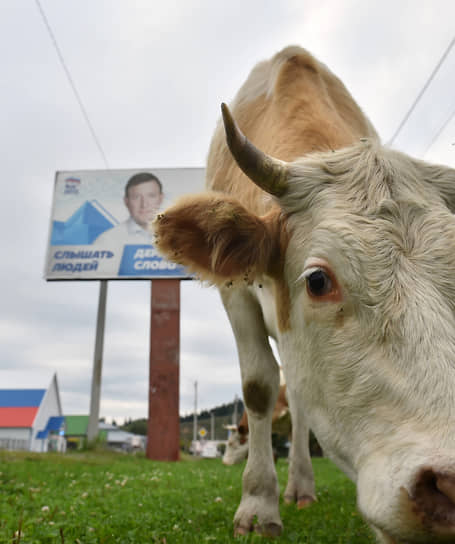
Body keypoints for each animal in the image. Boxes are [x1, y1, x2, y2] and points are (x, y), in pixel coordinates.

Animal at [154, 44, 455, 540]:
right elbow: (258, 385)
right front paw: (258, 503)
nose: (448, 487)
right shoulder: (235, 295)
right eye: (317, 280)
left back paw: (301, 485)